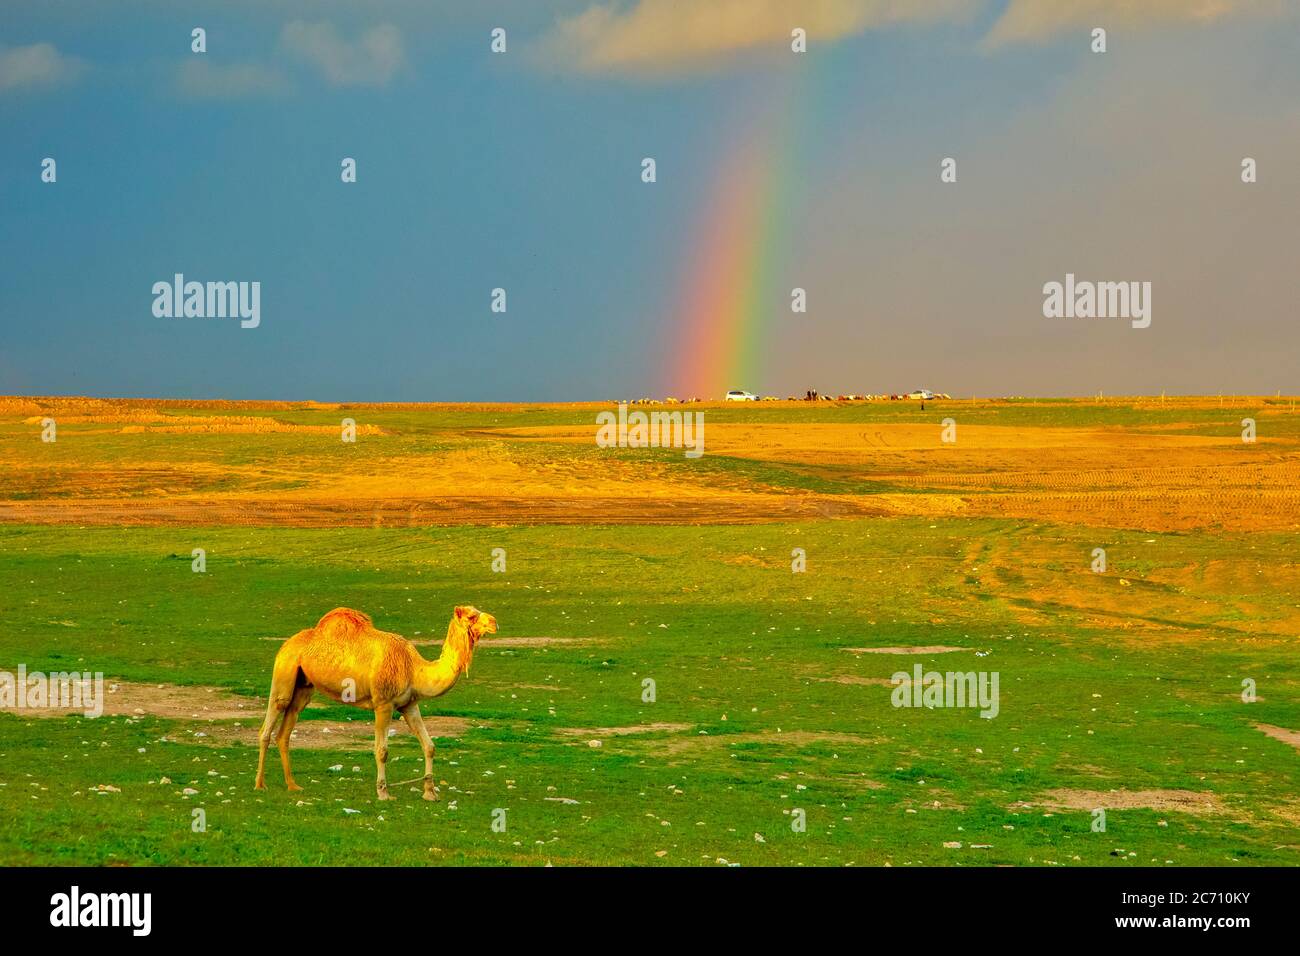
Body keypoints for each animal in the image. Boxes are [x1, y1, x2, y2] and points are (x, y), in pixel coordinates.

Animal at [254, 606, 496, 801]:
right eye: (472, 616)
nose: (494, 622)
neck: (413, 668)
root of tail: (288, 643)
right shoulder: (383, 703)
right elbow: (382, 750)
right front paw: (383, 793)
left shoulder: (409, 704)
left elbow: (429, 746)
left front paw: (430, 793)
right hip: (285, 668)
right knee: (271, 720)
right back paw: (260, 784)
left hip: (304, 685)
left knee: (285, 729)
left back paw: (292, 785)